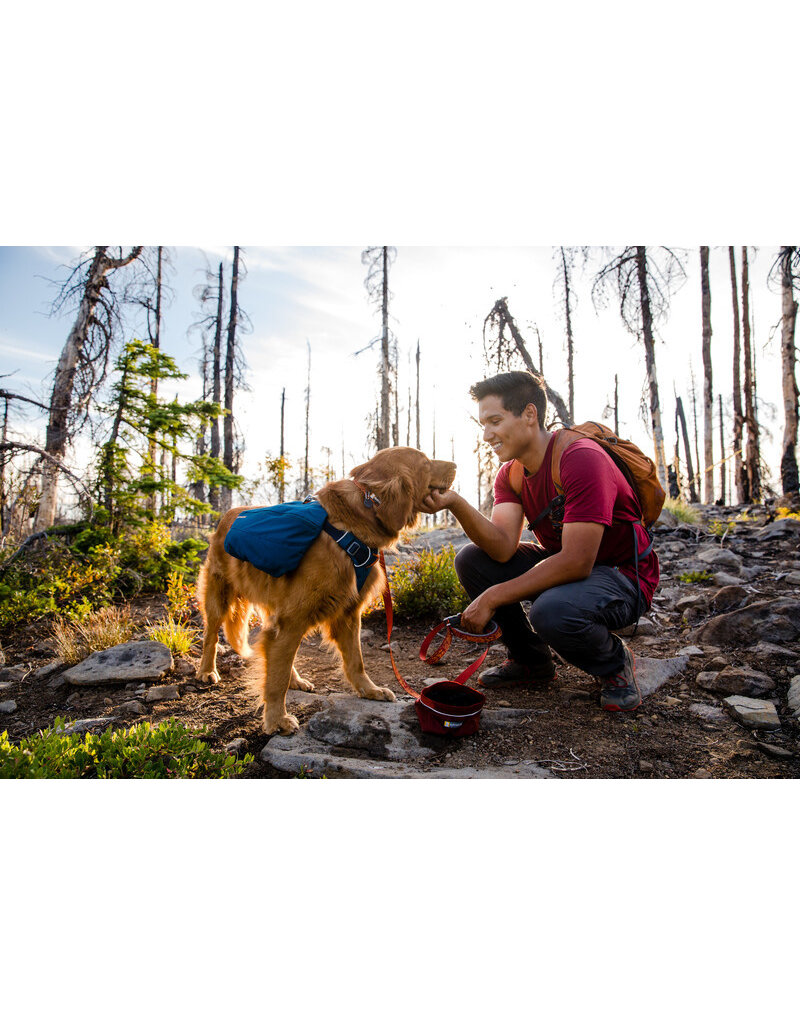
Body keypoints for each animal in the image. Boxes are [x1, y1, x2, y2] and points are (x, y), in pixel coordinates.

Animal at [194, 448, 454, 737]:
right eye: (426, 463)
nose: (455, 464)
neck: (358, 520)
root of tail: (227, 516)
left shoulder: (347, 613)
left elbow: (355, 660)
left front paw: (369, 690)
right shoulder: (293, 618)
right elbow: (276, 679)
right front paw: (276, 719)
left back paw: (296, 679)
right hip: (219, 597)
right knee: (212, 637)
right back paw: (207, 671)